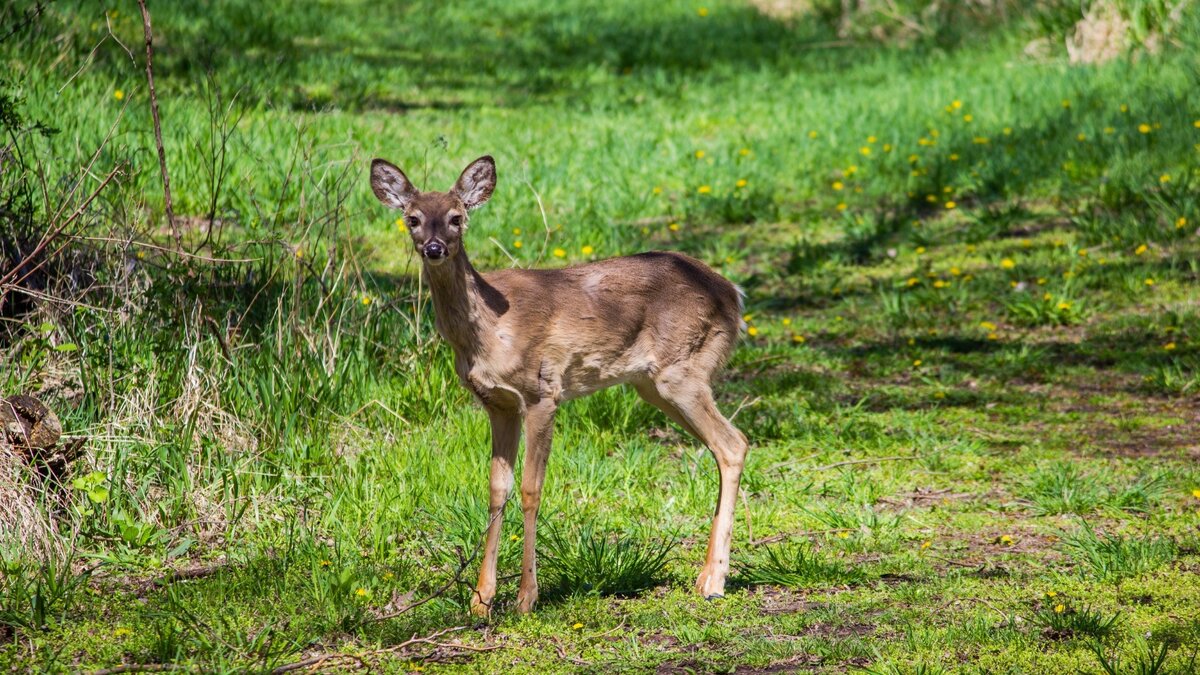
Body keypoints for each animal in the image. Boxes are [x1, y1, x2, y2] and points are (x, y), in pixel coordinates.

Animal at [369, 153, 744, 614]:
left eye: (457, 217)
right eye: (413, 219)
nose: (434, 248)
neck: (488, 332)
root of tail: (733, 293)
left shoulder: (543, 392)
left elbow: (531, 488)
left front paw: (526, 597)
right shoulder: (497, 404)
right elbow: (497, 489)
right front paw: (481, 599)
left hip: (683, 369)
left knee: (734, 443)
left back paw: (714, 580)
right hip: (654, 383)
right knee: (723, 447)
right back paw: (708, 575)